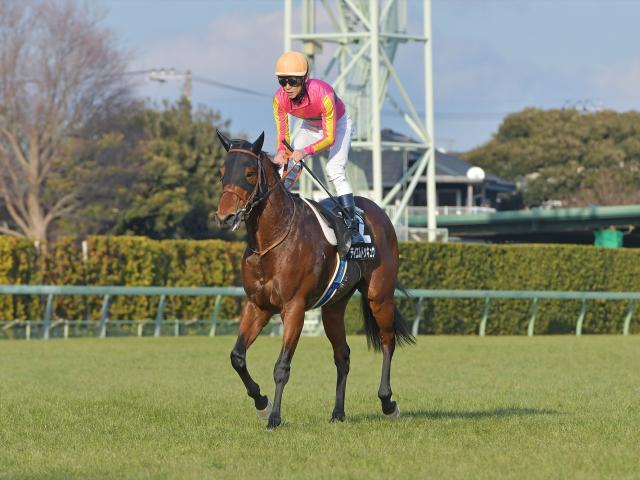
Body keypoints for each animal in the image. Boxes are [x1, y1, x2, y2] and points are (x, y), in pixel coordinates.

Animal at [215, 129, 416, 430]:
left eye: (249, 173)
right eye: (222, 172)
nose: (225, 216)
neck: (272, 239)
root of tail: (377, 210)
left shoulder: (294, 308)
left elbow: (282, 366)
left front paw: (274, 417)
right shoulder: (258, 306)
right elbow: (237, 357)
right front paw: (262, 403)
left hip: (379, 296)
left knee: (387, 341)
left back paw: (388, 402)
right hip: (333, 307)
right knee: (343, 355)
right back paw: (338, 412)